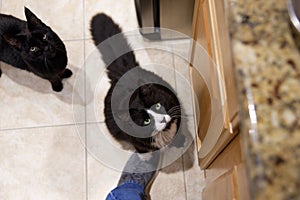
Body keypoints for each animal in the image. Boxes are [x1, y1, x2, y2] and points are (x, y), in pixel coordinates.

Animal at [90, 13, 182, 153]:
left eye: (157, 106)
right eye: (146, 121)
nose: (162, 119)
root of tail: (124, 73)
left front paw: (181, 142)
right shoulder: (140, 144)